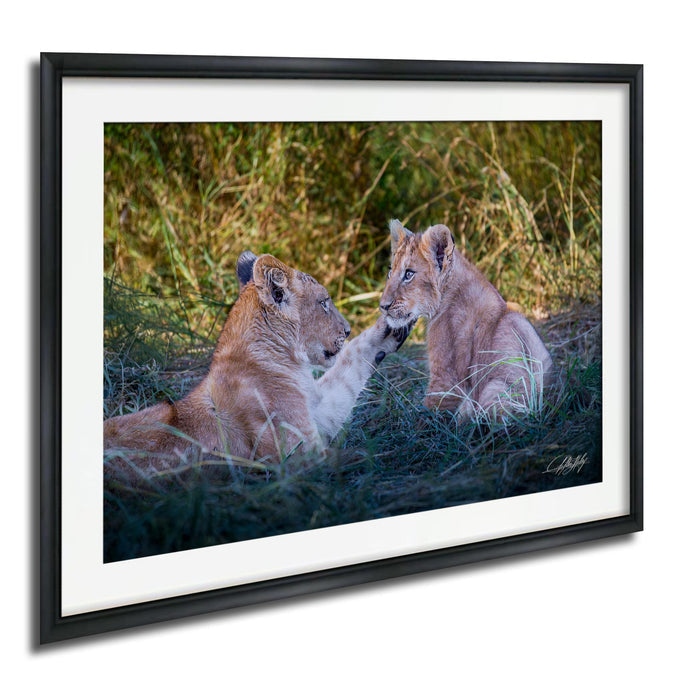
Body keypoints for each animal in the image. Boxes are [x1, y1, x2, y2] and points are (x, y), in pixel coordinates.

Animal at [104, 251, 412, 473]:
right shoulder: (299, 456)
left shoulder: (315, 412)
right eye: (324, 302)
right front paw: (385, 453)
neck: (290, 363)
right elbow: (353, 455)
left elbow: (348, 370)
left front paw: (390, 327)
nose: (347, 330)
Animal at [379, 220, 553, 421]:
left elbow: (422, 414)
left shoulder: (445, 382)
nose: (383, 306)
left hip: (493, 391)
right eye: (390, 272)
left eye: (409, 274)